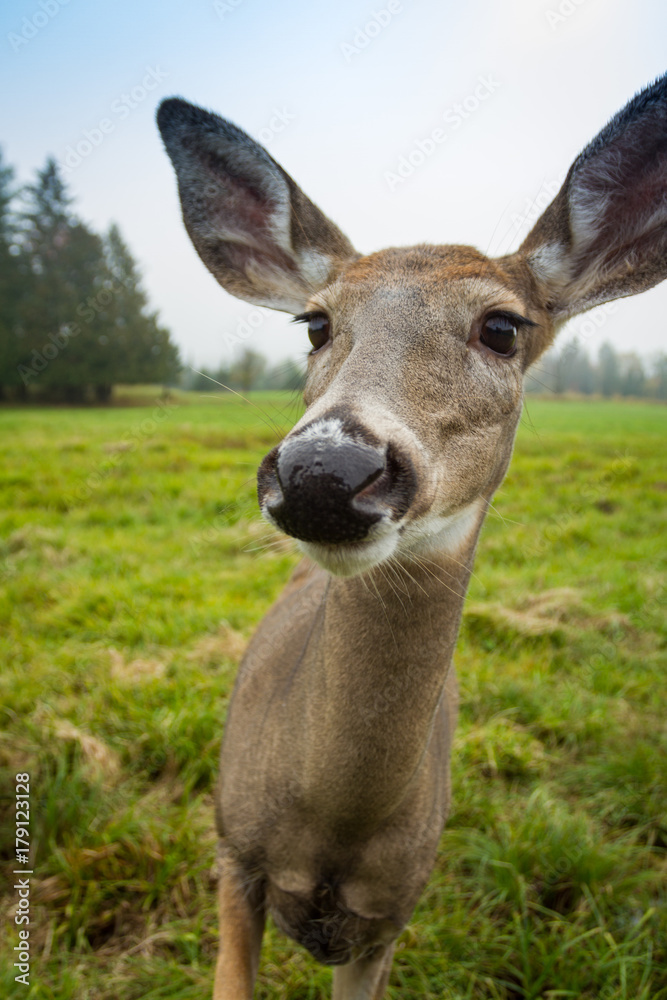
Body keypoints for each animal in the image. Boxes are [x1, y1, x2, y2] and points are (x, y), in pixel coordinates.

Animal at [157, 74, 667, 999]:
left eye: (501, 326)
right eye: (314, 323)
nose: (325, 470)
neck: (331, 821)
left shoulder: (388, 918)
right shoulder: (233, 853)